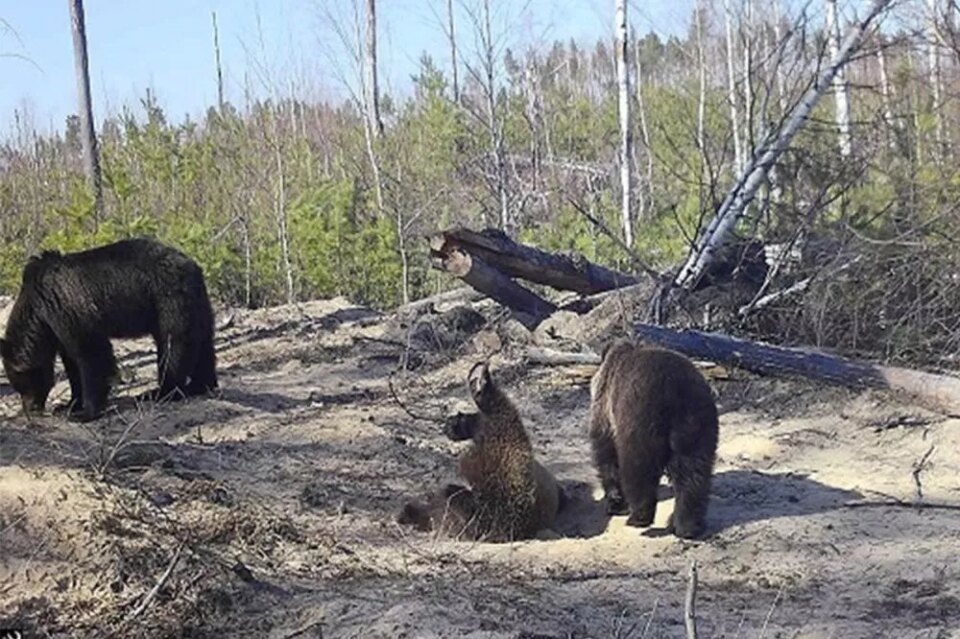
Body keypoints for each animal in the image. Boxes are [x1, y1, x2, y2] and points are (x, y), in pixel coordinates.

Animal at [0, 238, 218, 422]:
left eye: (21, 384)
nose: (29, 409)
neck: (38, 312)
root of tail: (193, 267)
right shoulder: (58, 328)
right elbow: (72, 362)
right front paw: (69, 404)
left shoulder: (66, 306)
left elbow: (91, 353)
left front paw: (85, 412)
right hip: (197, 304)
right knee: (204, 344)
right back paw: (201, 385)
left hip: (168, 299)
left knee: (173, 344)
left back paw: (160, 392)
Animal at [588, 340, 716, 540]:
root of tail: (675, 389)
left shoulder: (606, 413)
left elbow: (606, 453)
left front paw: (615, 502)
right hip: (697, 421)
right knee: (694, 472)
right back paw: (688, 526)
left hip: (641, 418)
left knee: (639, 469)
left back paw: (639, 517)